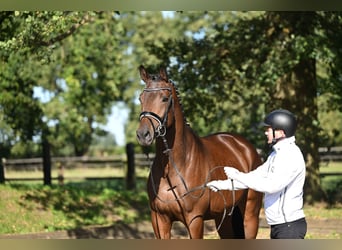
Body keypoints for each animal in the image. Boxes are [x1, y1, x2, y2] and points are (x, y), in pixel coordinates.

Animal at [136, 65, 262, 238]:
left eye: (164, 98)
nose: (143, 134)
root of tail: (246, 148)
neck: (174, 168)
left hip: (250, 214)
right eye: (141, 98)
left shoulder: (195, 219)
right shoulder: (159, 219)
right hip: (224, 218)